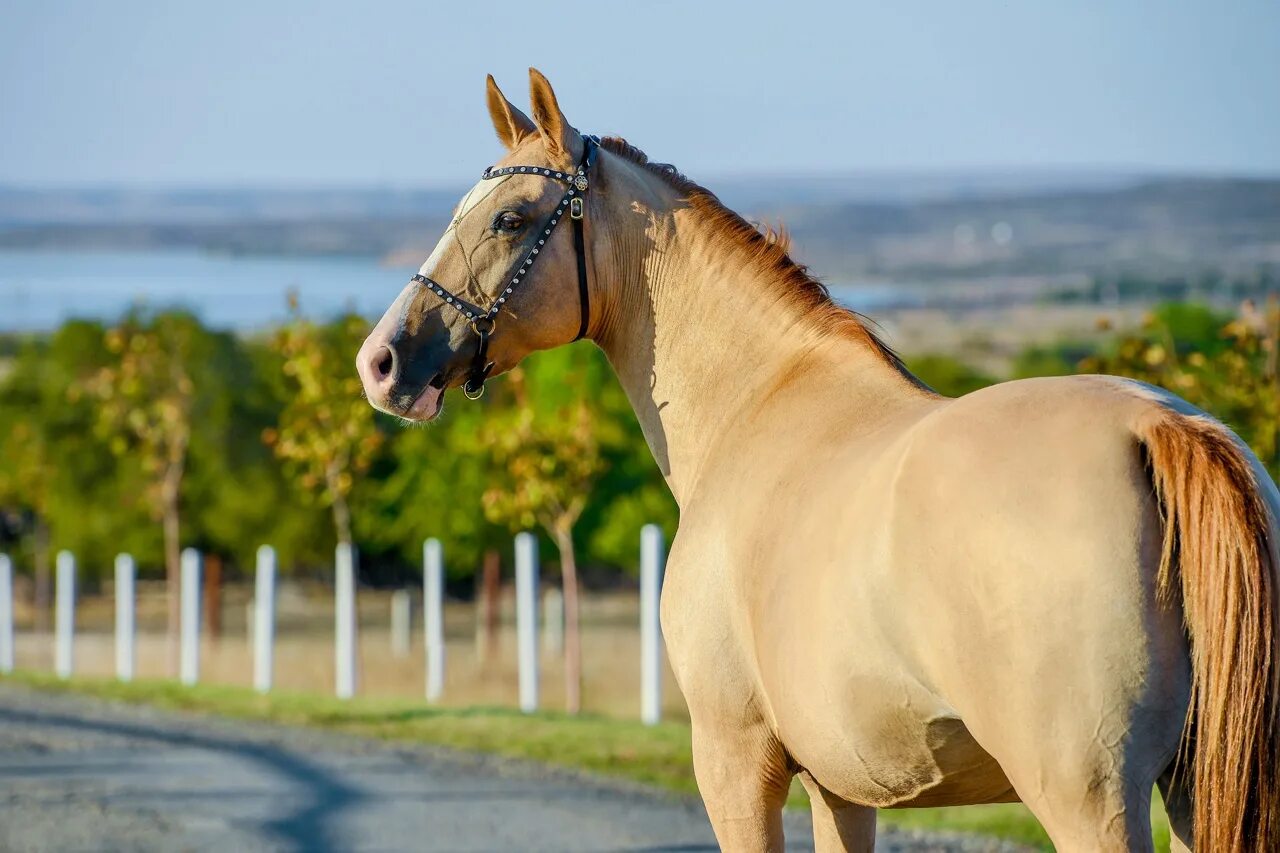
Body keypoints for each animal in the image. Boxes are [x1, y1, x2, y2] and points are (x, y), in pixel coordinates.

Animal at [358, 69, 1280, 845]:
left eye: (510, 218)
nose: (382, 363)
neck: (755, 400)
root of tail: (1159, 427)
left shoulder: (735, 762)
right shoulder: (843, 784)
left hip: (1087, 797)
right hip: (1190, 789)